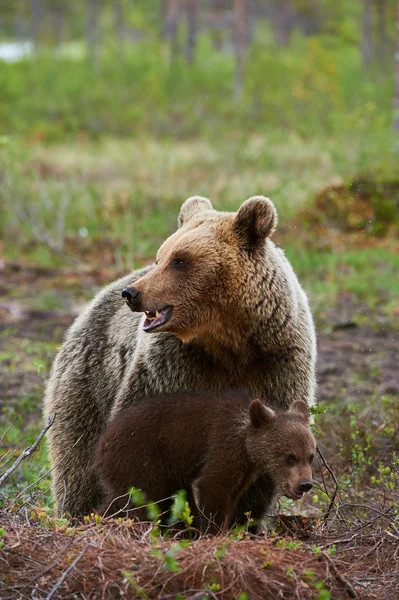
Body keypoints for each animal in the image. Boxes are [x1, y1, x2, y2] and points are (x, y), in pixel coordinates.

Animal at [43, 196, 318, 516]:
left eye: (180, 260)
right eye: (161, 256)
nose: (132, 293)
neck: (229, 341)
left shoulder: (276, 363)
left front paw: (246, 516)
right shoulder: (172, 368)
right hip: (89, 382)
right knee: (77, 458)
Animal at [94, 392, 316, 532]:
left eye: (311, 456)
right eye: (290, 457)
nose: (305, 484)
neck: (246, 443)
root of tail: (102, 442)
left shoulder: (245, 469)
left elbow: (233, 495)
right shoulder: (223, 446)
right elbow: (214, 487)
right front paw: (214, 533)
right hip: (140, 459)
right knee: (141, 501)